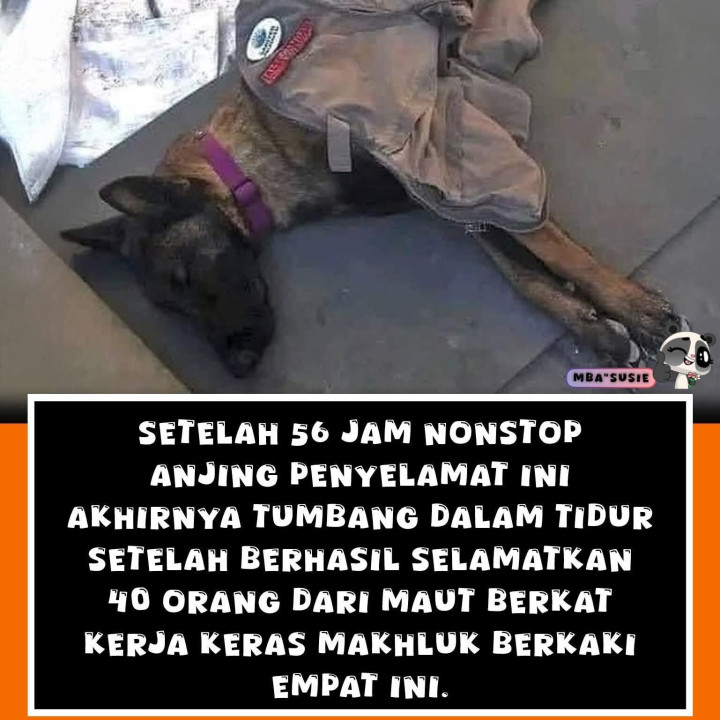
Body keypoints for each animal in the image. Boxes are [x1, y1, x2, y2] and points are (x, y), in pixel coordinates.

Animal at [61, 78, 685, 378]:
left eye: (190, 275)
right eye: (174, 308)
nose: (237, 369)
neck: (251, 162)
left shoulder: (444, 166)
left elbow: (544, 242)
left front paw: (628, 304)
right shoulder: (438, 196)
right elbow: (520, 272)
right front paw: (594, 327)